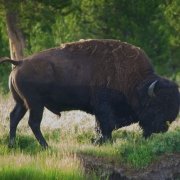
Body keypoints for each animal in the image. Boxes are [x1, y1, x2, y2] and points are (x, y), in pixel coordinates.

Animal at [0, 39, 179, 148]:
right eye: (157, 105)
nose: (164, 126)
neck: (135, 83)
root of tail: (19, 62)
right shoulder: (103, 107)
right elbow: (106, 125)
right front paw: (101, 141)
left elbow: (103, 126)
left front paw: (97, 140)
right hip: (35, 104)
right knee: (33, 123)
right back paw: (46, 146)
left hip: (22, 103)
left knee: (14, 118)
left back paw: (12, 144)